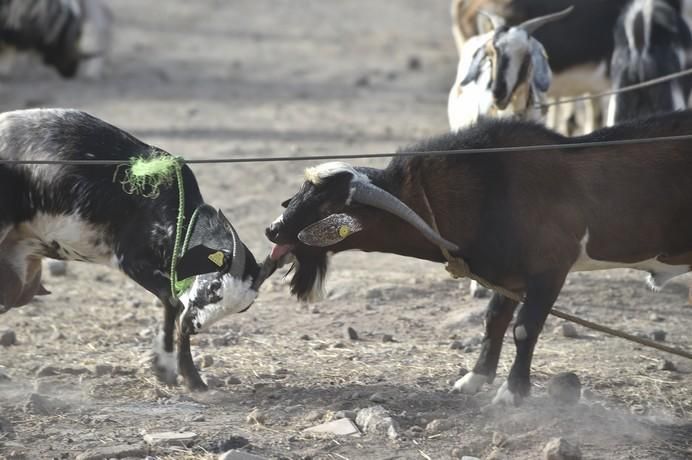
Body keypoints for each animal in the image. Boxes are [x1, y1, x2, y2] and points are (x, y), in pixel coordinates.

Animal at [0, 108, 276, 392]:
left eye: (242, 308)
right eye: (214, 286)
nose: (194, 326)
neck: (176, 214)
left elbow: (178, 307)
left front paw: (193, 379)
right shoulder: (131, 258)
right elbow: (172, 301)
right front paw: (164, 366)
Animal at [268, 111, 692, 406]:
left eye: (328, 205)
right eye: (302, 193)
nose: (272, 230)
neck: (494, 186)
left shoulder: (551, 268)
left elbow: (524, 328)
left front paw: (513, 393)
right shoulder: (507, 274)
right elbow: (494, 320)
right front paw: (474, 379)